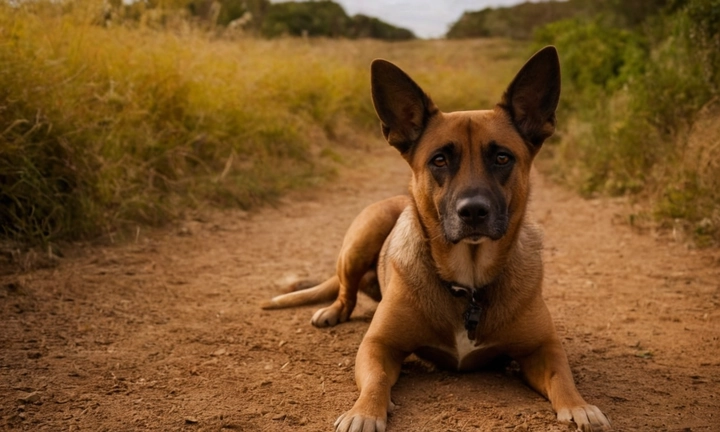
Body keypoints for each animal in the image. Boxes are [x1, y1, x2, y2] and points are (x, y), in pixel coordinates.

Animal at [262, 47, 612, 432]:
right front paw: (364, 412)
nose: (473, 211)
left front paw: (580, 406)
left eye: (502, 157)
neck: (468, 283)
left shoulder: (544, 348)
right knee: (346, 292)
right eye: (440, 160)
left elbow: (562, 377)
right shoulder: (378, 345)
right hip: (362, 237)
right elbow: (376, 380)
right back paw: (333, 311)